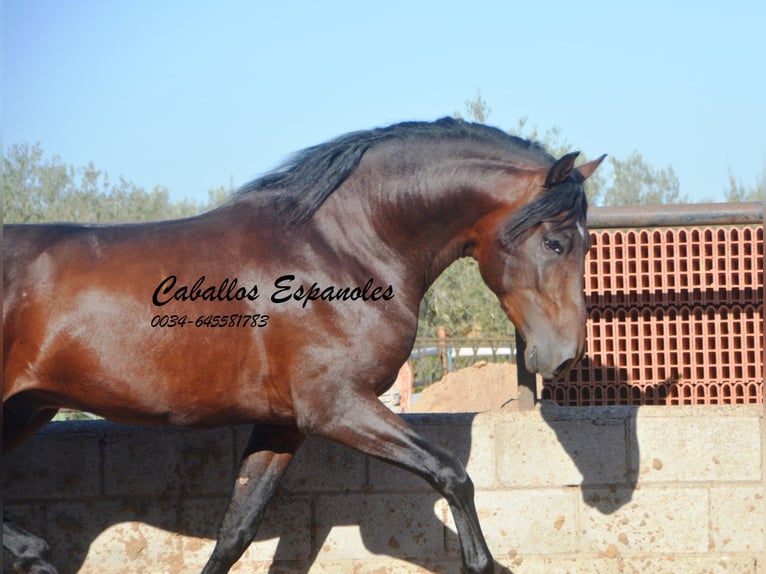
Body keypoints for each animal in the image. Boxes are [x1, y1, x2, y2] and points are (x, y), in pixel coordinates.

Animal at [4, 118, 608, 574]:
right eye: (556, 242)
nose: (564, 356)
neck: (337, 250)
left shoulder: (284, 424)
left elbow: (236, 530)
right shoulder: (338, 407)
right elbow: (453, 476)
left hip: (29, 409)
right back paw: (35, 553)